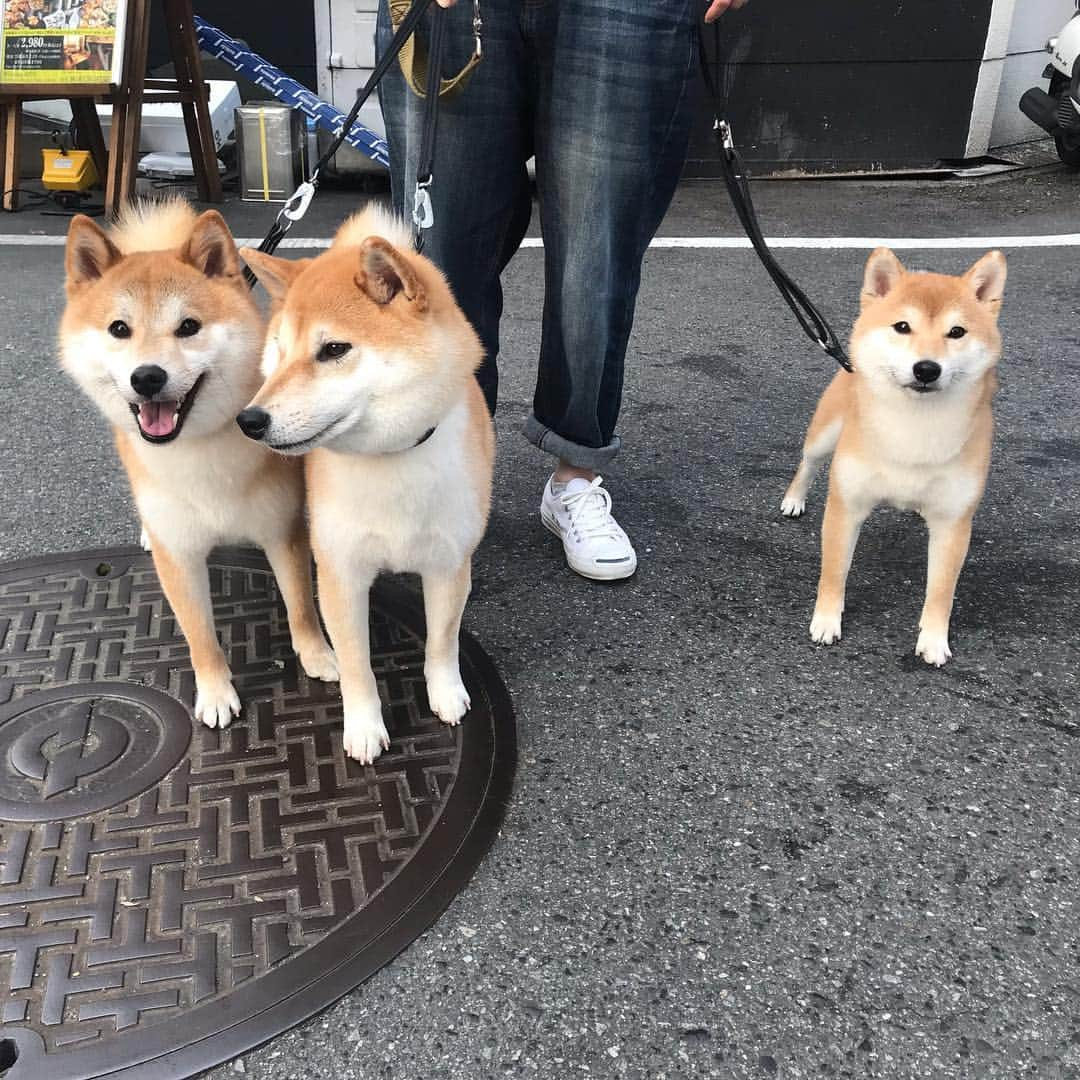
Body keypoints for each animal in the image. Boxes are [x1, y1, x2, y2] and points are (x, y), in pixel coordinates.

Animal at [60, 200, 336, 725]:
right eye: (119, 329)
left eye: (188, 326)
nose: (147, 376)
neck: (200, 448)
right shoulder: (180, 554)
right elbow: (199, 635)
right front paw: (215, 691)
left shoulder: (283, 529)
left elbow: (301, 607)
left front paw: (318, 655)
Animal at [238, 208, 494, 768]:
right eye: (281, 353)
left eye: (334, 350)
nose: (250, 420)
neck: (390, 461)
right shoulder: (341, 573)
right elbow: (357, 666)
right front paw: (363, 727)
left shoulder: (447, 564)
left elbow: (442, 642)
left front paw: (446, 693)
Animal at [781, 247, 1006, 665]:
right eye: (902, 326)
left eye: (957, 332)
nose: (927, 368)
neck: (914, 429)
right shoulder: (846, 506)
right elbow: (834, 572)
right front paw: (826, 620)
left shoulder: (953, 523)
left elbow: (941, 590)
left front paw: (934, 639)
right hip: (825, 433)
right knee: (808, 463)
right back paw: (793, 499)